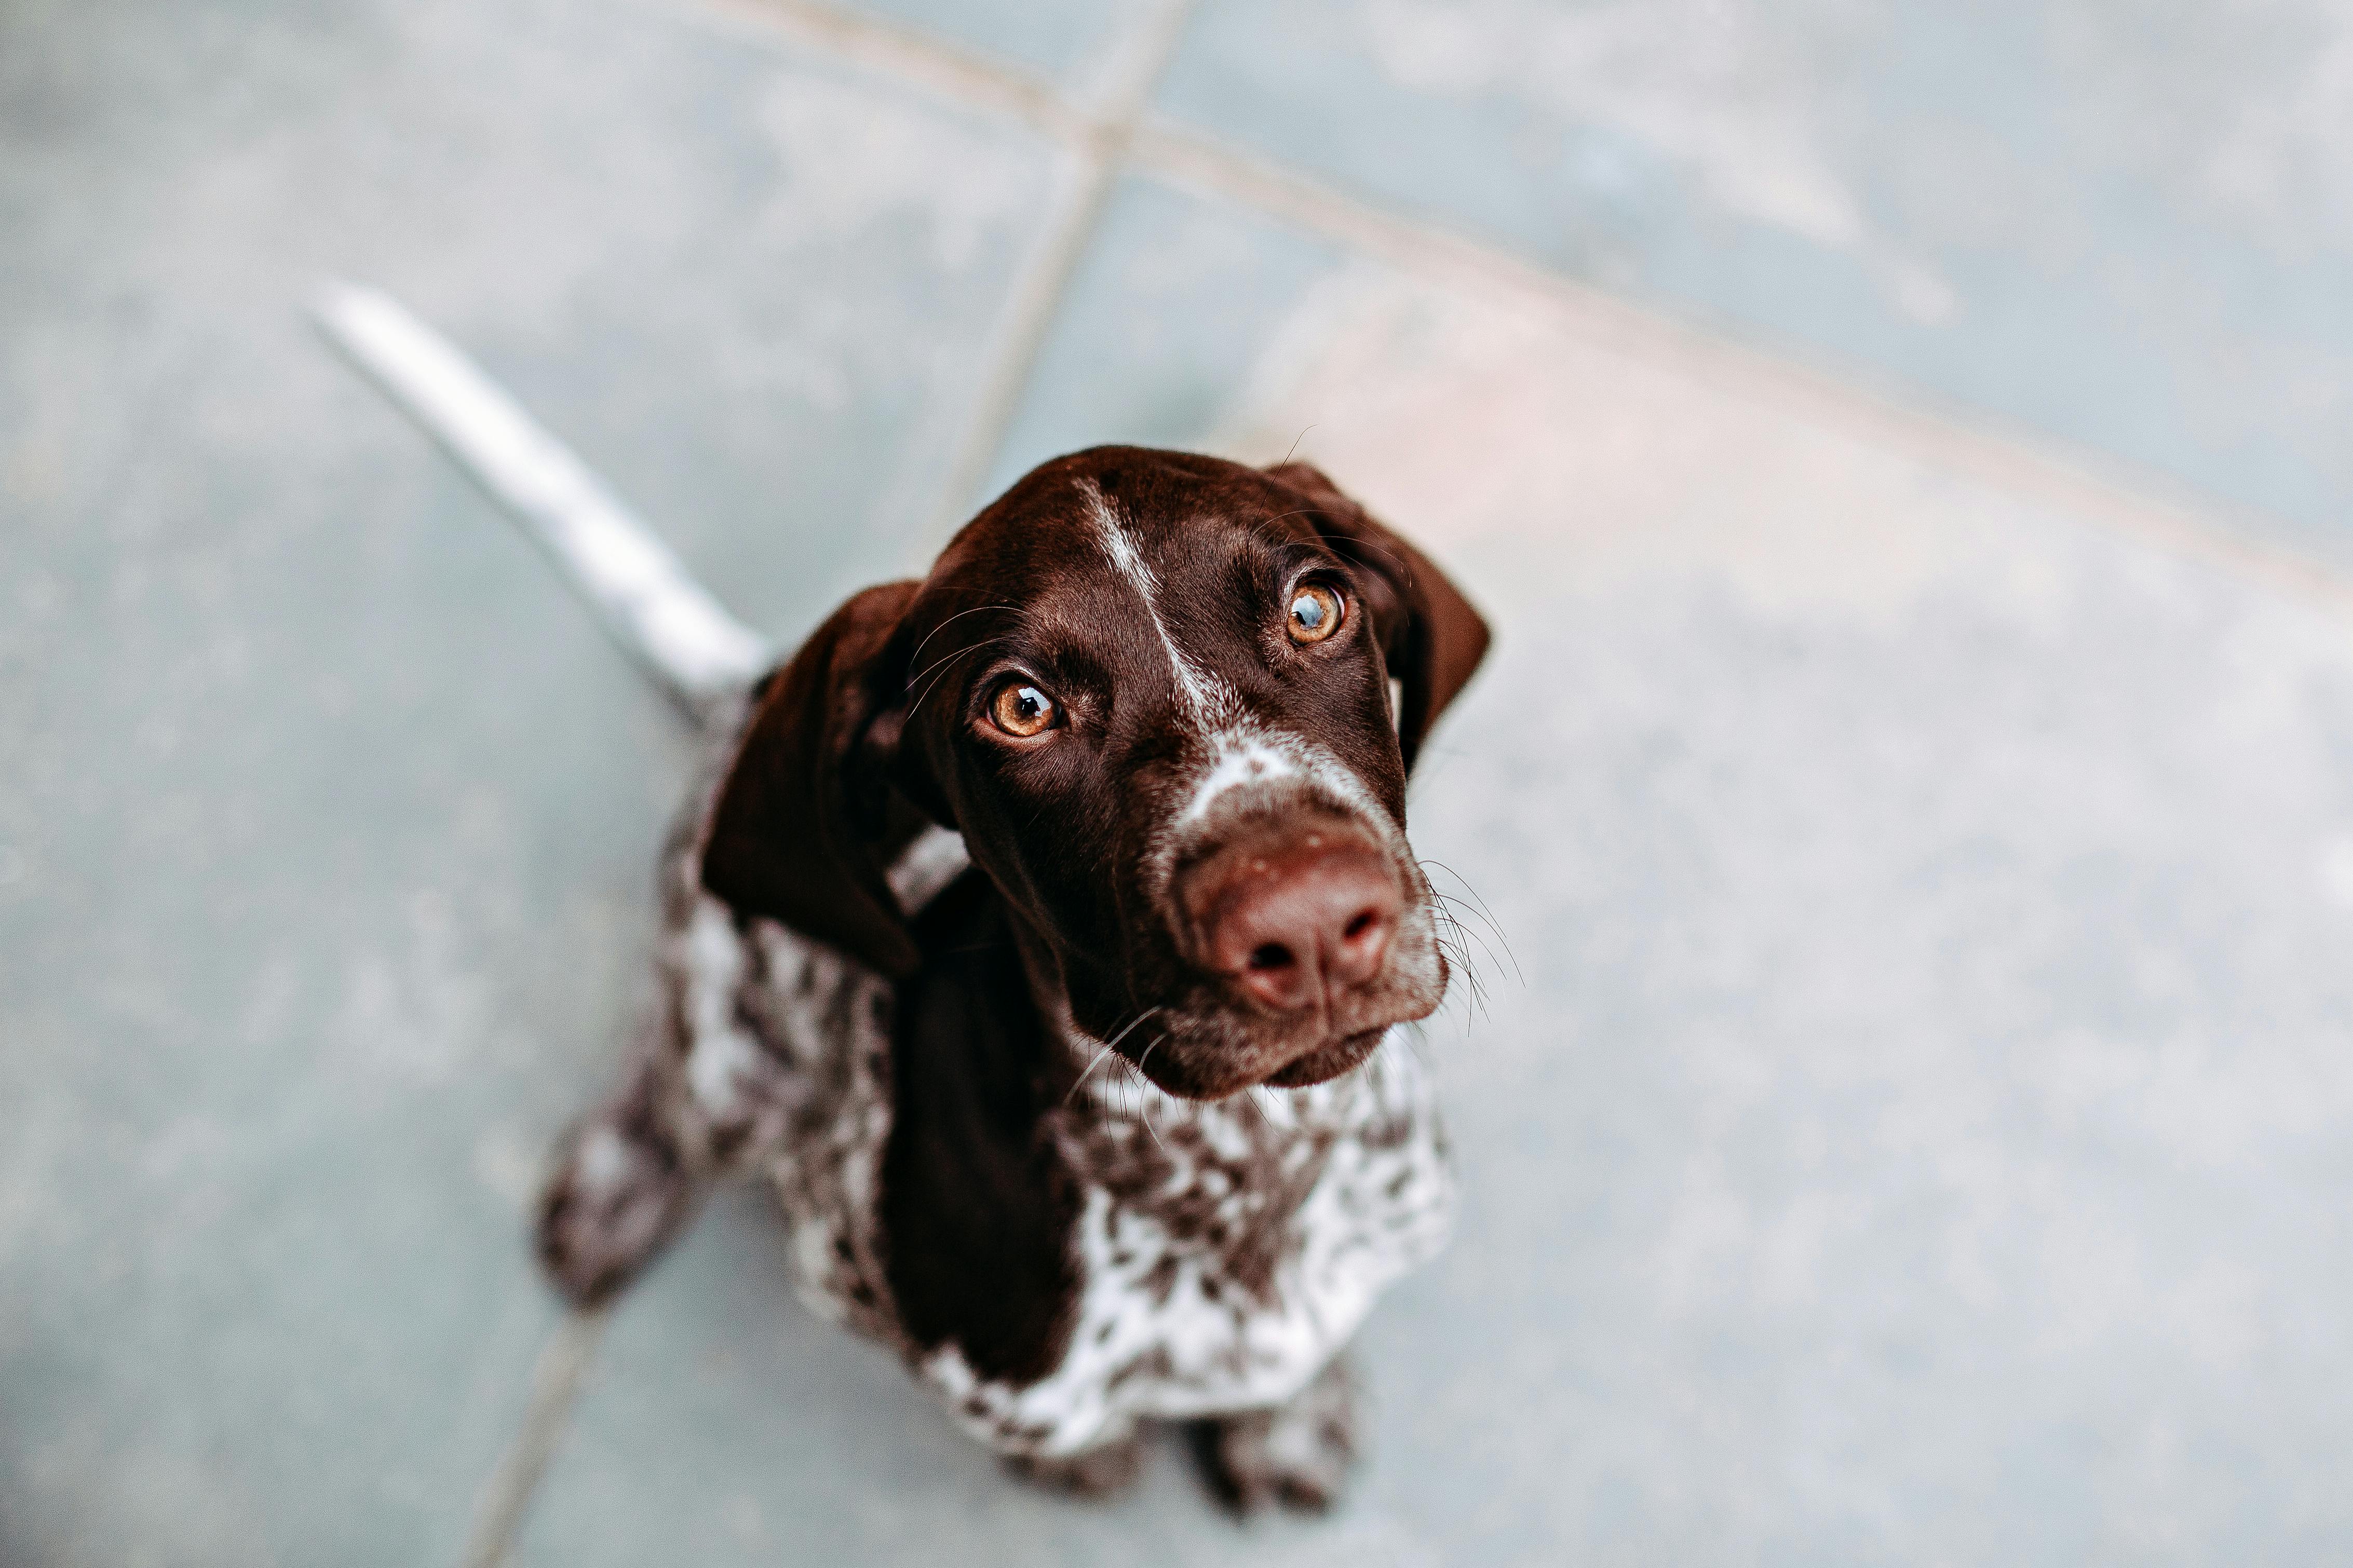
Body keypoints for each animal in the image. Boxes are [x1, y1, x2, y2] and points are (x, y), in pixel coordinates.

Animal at [536, 442, 1487, 1504]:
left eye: (1314, 608)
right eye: (1021, 707)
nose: (1311, 922)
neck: (1243, 1173)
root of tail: (751, 686)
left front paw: (1289, 1413)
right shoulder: (845, 1261)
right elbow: (1061, 1428)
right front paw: (1087, 1455)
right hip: (730, 1068)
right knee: (667, 1055)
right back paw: (620, 1176)